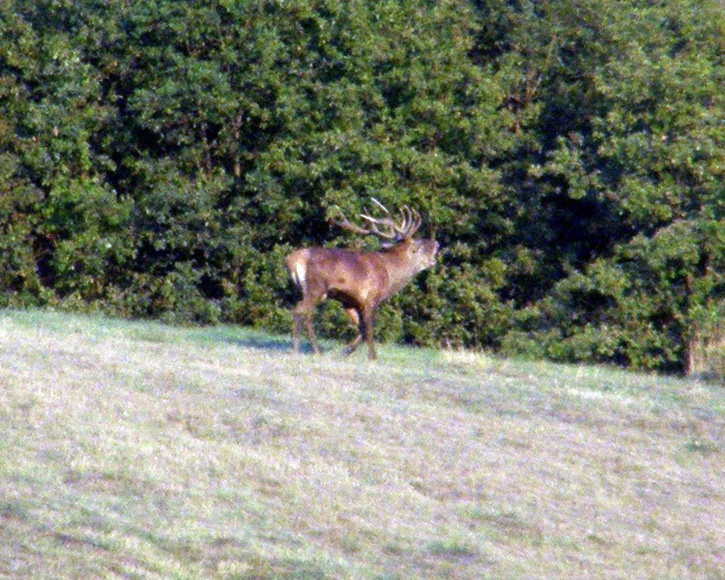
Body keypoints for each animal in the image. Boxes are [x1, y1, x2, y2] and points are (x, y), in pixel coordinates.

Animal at [286, 199, 438, 358]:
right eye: (419, 244)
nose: (437, 243)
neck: (390, 274)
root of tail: (292, 260)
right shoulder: (370, 297)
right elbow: (369, 328)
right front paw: (372, 357)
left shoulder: (350, 301)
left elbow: (361, 328)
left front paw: (347, 350)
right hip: (316, 287)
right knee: (301, 313)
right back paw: (313, 351)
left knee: (299, 313)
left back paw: (297, 349)